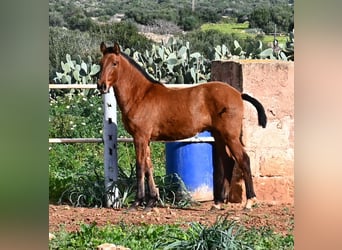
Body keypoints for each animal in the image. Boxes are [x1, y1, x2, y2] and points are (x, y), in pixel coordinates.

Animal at [97, 42, 266, 210]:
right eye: (100, 63)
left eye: (114, 63)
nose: (101, 86)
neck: (140, 95)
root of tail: (238, 94)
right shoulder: (146, 140)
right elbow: (148, 168)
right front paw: (151, 201)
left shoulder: (140, 137)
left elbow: (140, 168)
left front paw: (137, 202)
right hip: (219, 136)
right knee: (228, 161)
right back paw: (218, 202)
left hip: (230, 136)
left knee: (244, 160)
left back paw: (249, 201)